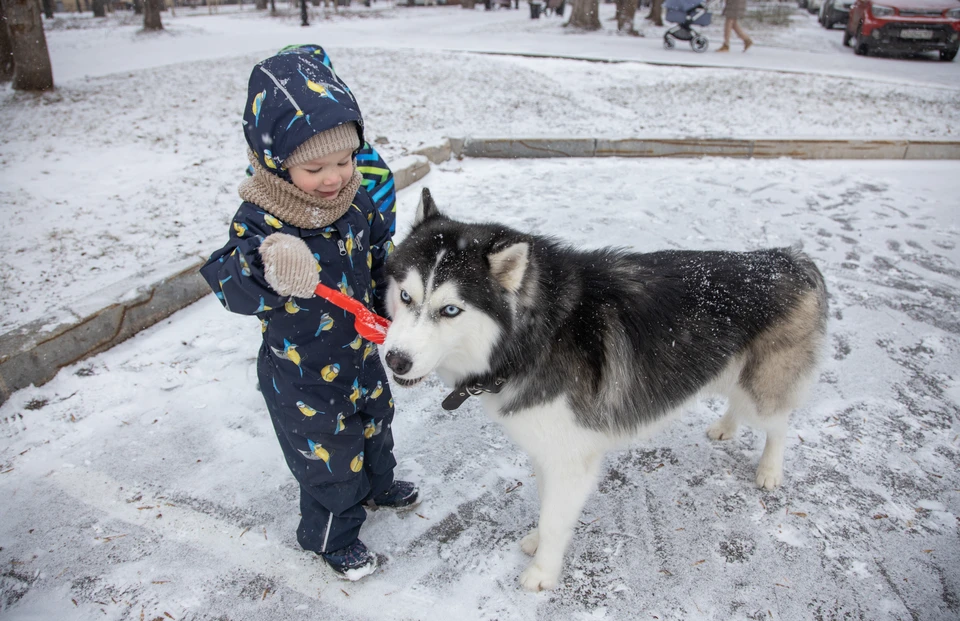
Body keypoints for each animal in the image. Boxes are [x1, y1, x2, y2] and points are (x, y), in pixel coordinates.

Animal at [382, 189, 824, 592]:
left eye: (450, 310)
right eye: (405, 296)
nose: (395, 360)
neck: (538, 334)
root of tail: (782, 258)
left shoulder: (571, 457)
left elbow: (555, 518)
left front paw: (542, 573)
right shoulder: (548, 448)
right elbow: (547, 507)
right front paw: (538, 542)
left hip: (763, 388)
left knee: (778, 422)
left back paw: (770, 470)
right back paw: (726, 427)